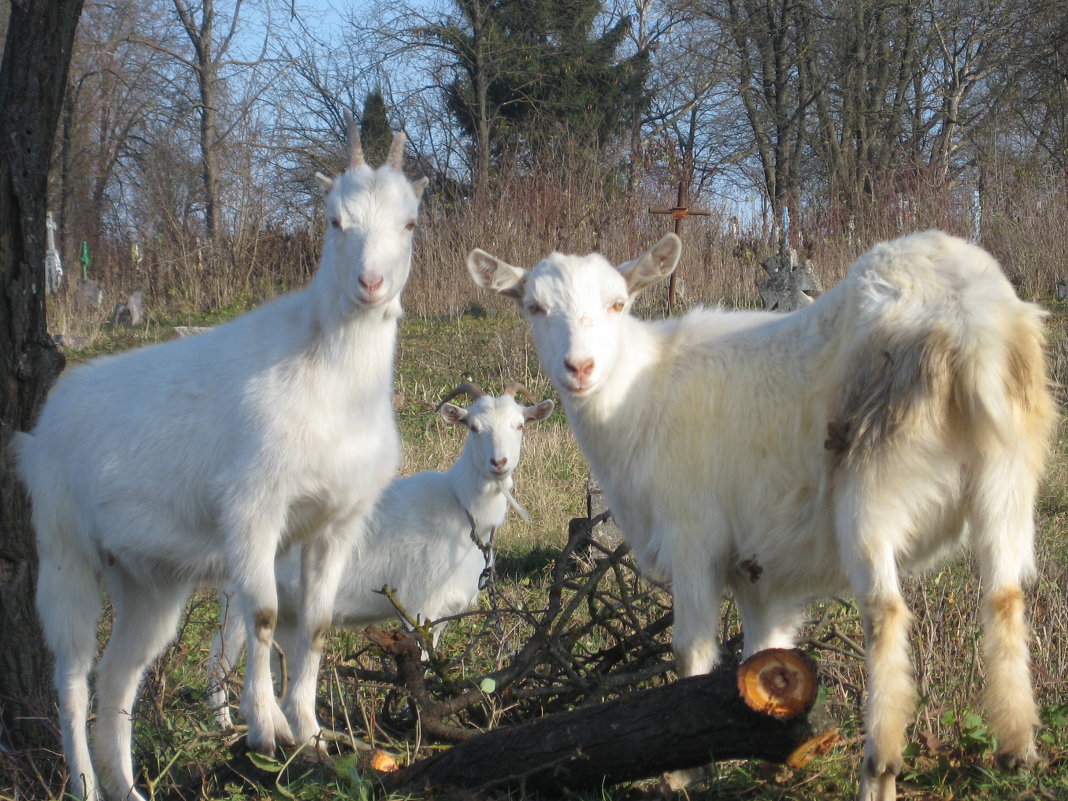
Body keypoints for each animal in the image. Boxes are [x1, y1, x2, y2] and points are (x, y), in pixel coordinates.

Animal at [13, 113, 425, 801]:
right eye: (334, 221)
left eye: (410, 222)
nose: (369, 284)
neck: (330, 377)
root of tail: (41, 431)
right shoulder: (253, 506)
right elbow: (261, 615)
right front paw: (266, 730)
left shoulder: (338, 520)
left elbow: (316, 623)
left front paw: (312, 733)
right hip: (64, 546)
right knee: (70, 676)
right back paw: (87, 783)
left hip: (150, 579)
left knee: (117, 674)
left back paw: (127, 786)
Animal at [210, 384, 559, 734]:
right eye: (473, 427)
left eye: (520, 425)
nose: (498, 462)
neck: (463, 509)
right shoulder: (418, 604)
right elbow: (420, 664)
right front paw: (419, 718)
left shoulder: (443, 611)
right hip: (237, 596)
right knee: (218, 661)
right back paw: (224, 728)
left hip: (287, 607)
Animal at [469, 228, 1059, 798]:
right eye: (534, 307)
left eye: (618, 303)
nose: (580, 367)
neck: (641, 392)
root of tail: (967, 317)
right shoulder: (760, 571)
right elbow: (765, 649)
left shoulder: (692, 535)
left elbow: (690, 648)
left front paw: (682, 771)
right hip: (1009, 469)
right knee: (1005, 595)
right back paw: (1016, 747)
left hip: (871, 479)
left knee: (885, 612)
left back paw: (879, 771)